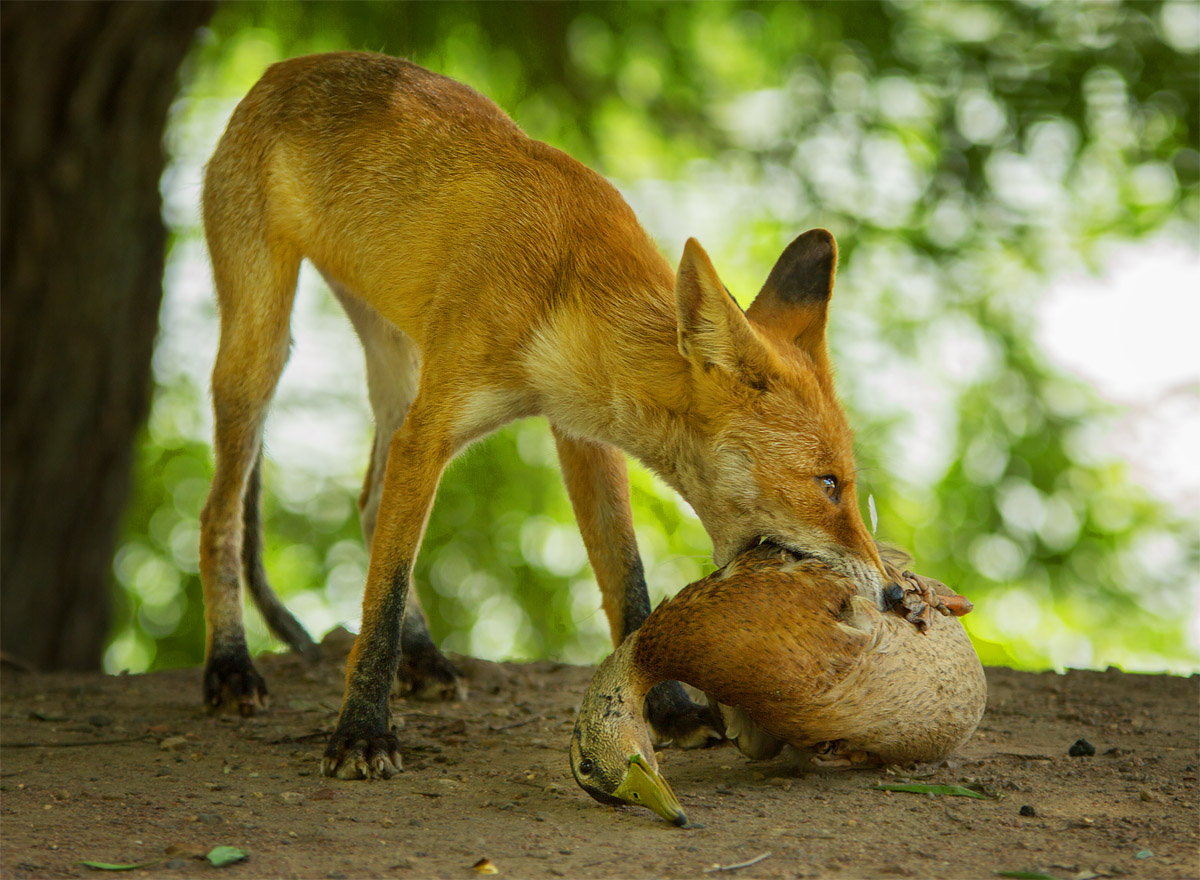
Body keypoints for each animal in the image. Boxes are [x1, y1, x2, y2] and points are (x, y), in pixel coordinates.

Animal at [199, 51, 907, 777]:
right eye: (829, 485)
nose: (896, 597)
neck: (563, 285)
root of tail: (281, 69)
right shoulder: (432, 430)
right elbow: (385, 592)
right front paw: (362, 730)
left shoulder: (582, 435)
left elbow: (627, 580)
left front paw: (671, 709)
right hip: (262, 350)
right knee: (221, 515)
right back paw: (230, 666)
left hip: (396, 364)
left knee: (369, 504)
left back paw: (423, 657)